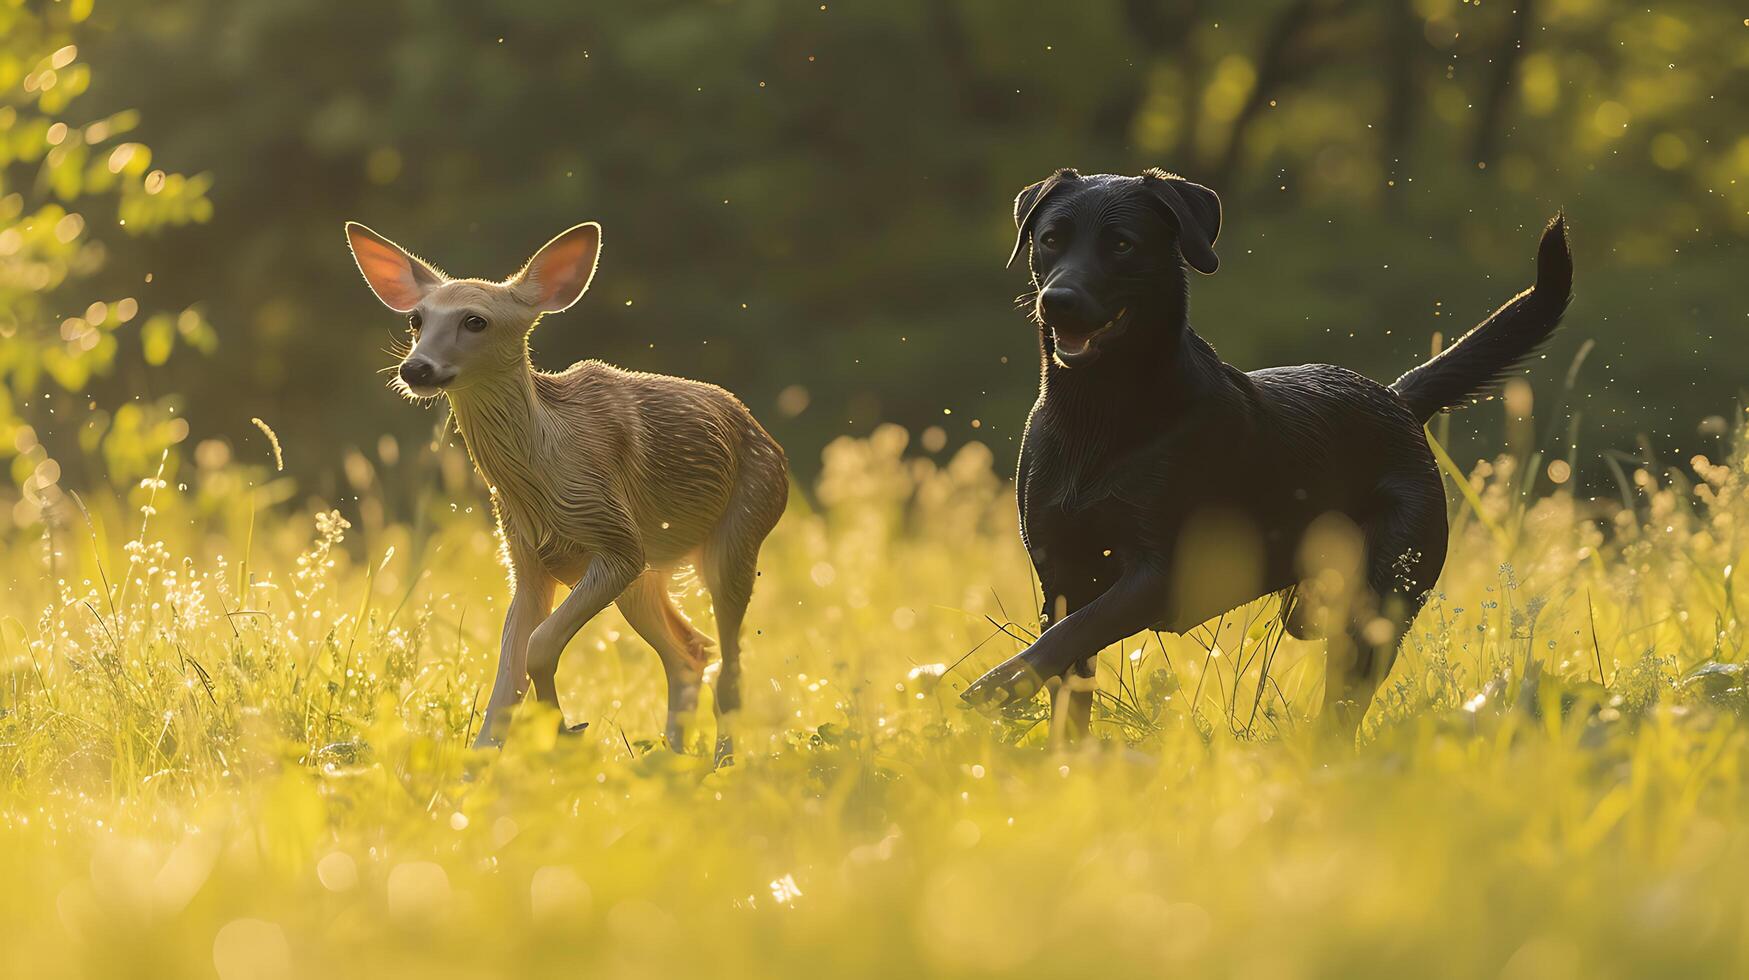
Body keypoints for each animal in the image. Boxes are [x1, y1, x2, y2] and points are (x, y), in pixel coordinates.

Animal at [965, 168, 1581, 735]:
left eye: (1121, 245)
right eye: (1050, 239)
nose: (1058, 301)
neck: (1100, 413)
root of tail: (1396, 398)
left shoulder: (1160, 575)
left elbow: (1069, 637)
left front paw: (993, 687)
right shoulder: (1061, 577)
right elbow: (1068, 671)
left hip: (1382, 597)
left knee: (1346, 700)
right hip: (1311, 608)